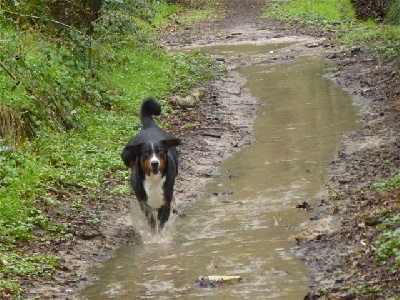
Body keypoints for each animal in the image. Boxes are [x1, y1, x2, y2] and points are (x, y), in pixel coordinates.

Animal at [120, 97, 180, 229]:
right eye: (146, 152)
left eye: (160, 151)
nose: (154, 163)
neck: (153, 179)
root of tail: (150, 127)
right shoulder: (144, 203)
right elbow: (152, 222)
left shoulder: (164, 204)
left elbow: (160, 225)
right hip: (126, 155)